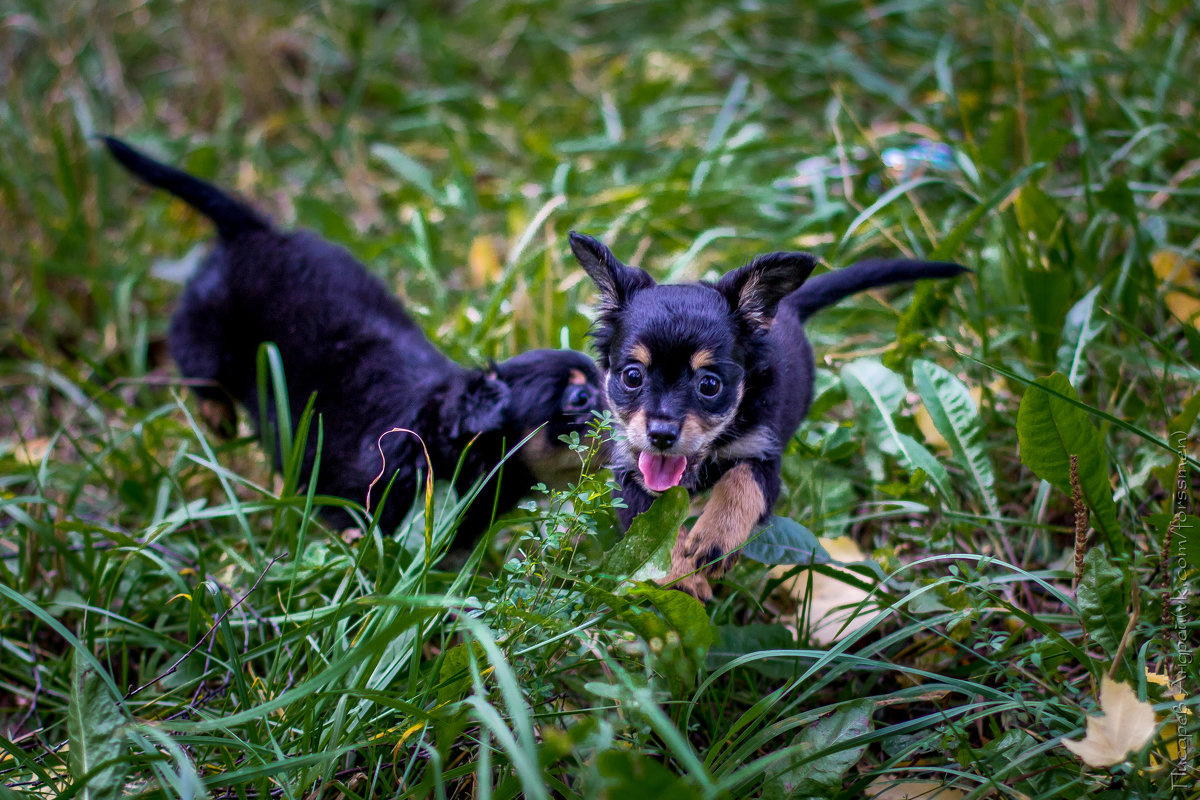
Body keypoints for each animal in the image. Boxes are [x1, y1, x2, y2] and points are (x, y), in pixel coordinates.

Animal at [106, 139, 604, 544]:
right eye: (579, 397)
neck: (435, 437)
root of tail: (252, 231)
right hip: (206, 337)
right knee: (200, 371)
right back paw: (217, 419)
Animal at [568, 231, 964, 599]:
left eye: (709, 385)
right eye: (632, 377)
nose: (662, 435)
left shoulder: (763, 456)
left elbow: (741, 484)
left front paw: (715, 539)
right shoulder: (629, 473)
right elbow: (653, 529)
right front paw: (679, 577)